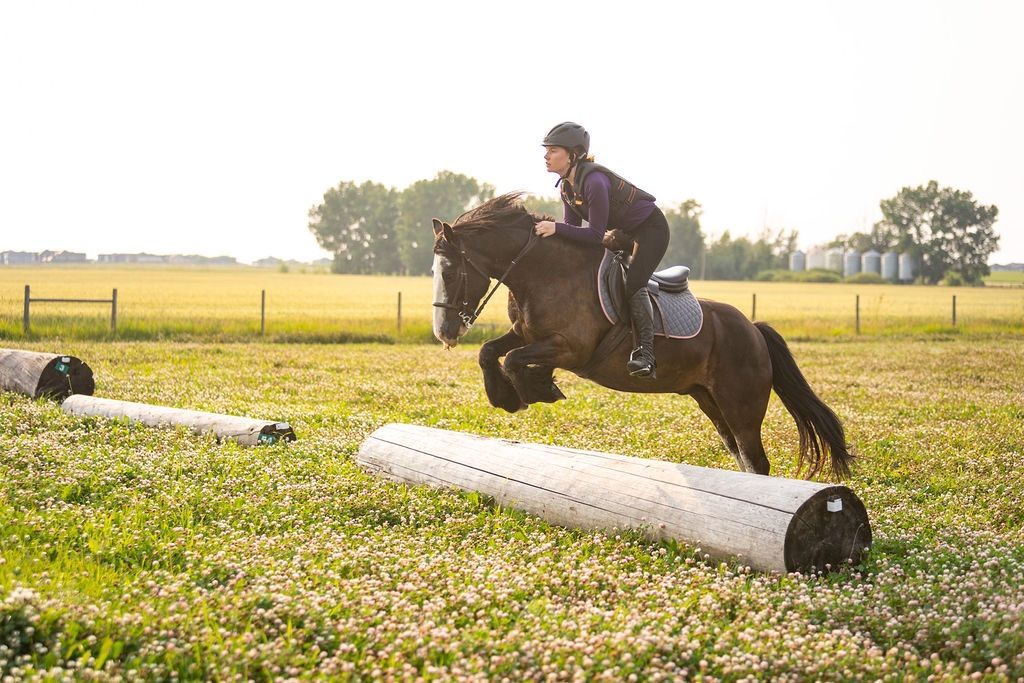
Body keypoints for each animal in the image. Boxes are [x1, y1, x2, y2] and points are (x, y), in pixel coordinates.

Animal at [428, 192, 851, 481]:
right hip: (710, 400)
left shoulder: (571, 349)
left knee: (756, 460)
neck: (544, 272)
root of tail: (754, 330)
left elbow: (516, 360)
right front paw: (507, 394)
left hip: (741, 404)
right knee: (742, 456)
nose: (445, 333)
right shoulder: (524, 334)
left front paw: (535, 390)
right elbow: (489, 351)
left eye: (448, 271)